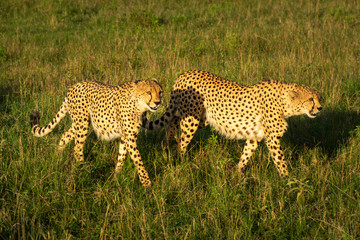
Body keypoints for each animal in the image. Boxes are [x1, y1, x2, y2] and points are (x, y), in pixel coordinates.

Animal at [31, 79, 163, 187]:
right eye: (148, 92)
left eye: (160, 92)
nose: (157, 102)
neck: (138, 104)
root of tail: (75, 85)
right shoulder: (130, 137)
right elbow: (137, 159)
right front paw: (147, 183)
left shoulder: (126, 135)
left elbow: (122, 156)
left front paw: (116, 176)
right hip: (82, 124)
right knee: (77, 148)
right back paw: (83, 169)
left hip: (80, 123)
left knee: (65, 136)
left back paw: (58, 156)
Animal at [142, 70, 322, 177]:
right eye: (310, 99)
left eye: (319, 98)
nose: (320, 108)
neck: (286, 104)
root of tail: (184, 73)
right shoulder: (272, 138)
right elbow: (280, 159)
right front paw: (288, 180)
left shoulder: (255, 135)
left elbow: (247, 153)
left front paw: (238, 172)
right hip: (192, 120)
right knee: (181, 137)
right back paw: (180, 158)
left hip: (202, 118)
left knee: (174, 119)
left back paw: (166, 144)